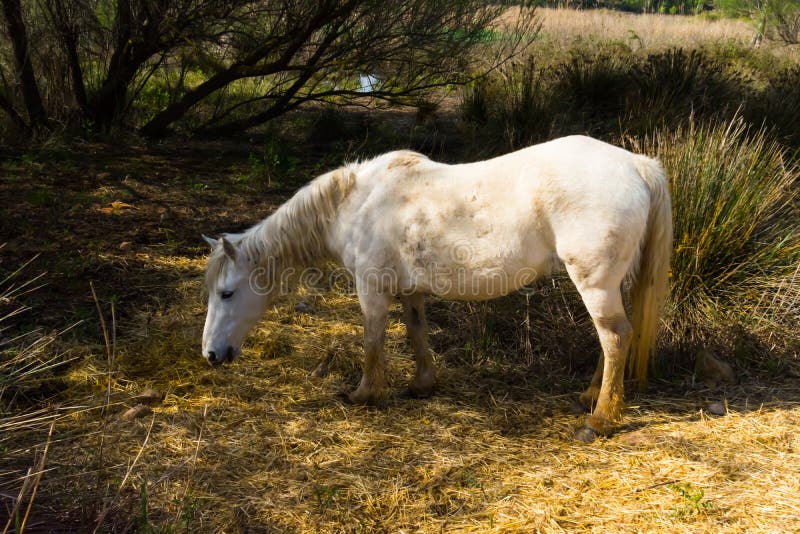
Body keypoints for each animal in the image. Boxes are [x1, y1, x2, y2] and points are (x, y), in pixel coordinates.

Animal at [201, 135, 672, 441]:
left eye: (227, 292)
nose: (210, 355)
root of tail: (637, 165)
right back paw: (592, 396)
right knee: (611, 339)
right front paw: (422, 384)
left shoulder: (371, 288)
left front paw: (364, 393)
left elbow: (372, 339)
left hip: (594, 282)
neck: (357, 203)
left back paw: (601, 419)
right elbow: (416, 331)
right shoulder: (411, 290)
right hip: (609, 283)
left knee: (615, 337)